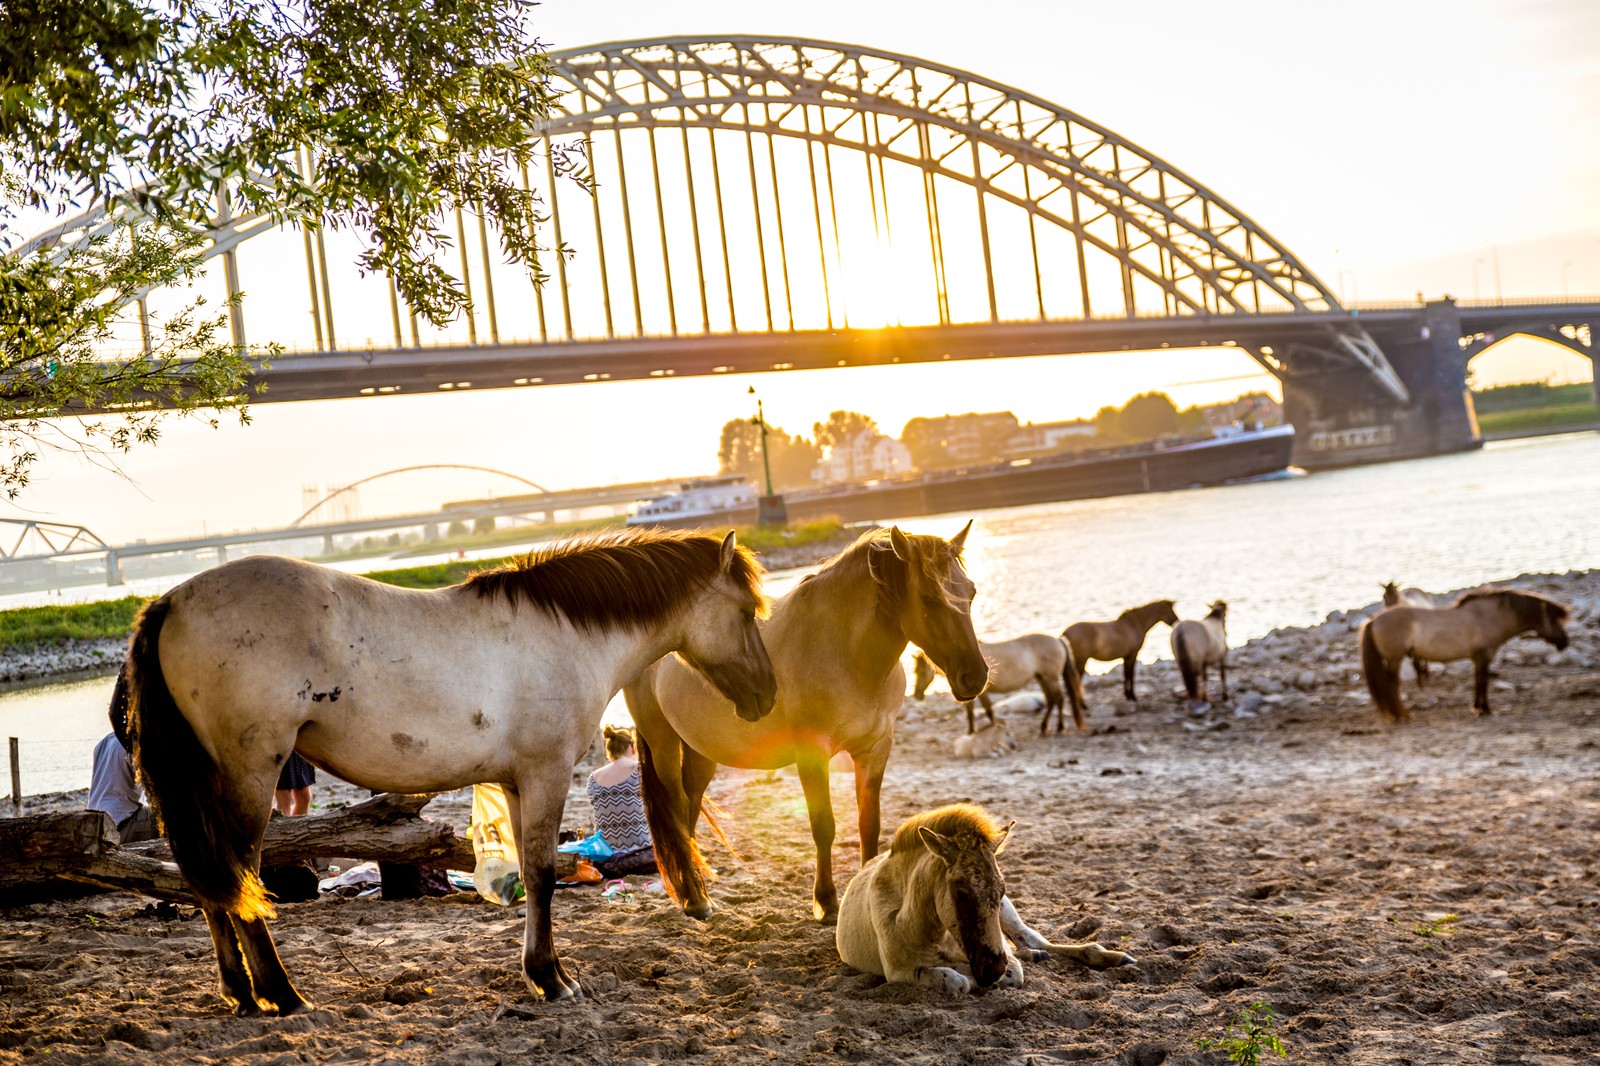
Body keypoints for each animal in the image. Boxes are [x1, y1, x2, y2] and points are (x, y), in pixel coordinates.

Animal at [124, 528, 774, 1011]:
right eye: (746, 611)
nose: (763, 700)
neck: (564, 634)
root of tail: (171, 601)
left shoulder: (517, 781)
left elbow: (530, 873)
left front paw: (540, 972)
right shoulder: (546, 773)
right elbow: (543, 873)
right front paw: (552, 979)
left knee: (213, 882)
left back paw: (238, 991)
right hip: (251, 779)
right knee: (243, 875)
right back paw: (281, 995)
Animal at [624, 521, 985, 921]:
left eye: (970, 593)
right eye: (929, 598)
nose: (975, 677)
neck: (845, 651)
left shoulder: (874, 750)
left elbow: (869, 824)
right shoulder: (812, 755)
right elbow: (823, 826)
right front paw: (826, 902)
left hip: (701, 751)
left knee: (689, 806)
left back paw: (696, 888)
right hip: (663, 743)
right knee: (674, 807)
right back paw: (693, 897)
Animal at [838, 800, 1139, 992]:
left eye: (1002, 888)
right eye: (960, 892)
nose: (992, 968)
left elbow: (1011, 971)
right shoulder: (897, 972)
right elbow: (956, 981)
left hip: (1009, 915)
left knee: (1033, 939)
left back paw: (1108, 956)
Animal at [915, 633, 1088, 736]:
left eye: (921, 672)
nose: (917, 695)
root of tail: (1057, 640)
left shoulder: (982, 692)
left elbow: (988, 710)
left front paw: (993, 729)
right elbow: (971, 713)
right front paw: (971, 732)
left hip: (1050, 678)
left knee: (1058, 699)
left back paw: (1058, 727)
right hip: (1042, 678)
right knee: (1052, 700)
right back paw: (1045, 727)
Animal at [1356, 582, 1568, 723]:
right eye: (1554, 619)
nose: (1565, 643)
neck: (1489, 616)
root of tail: (1374, 620)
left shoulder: (1477, 658)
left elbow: (1477, 681)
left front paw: (1477, 708)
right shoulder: (1484, 656)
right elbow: (1483, 681)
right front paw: (1485, 709)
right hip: (1394, 659)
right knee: (1392, 685)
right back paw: (1402, 714)